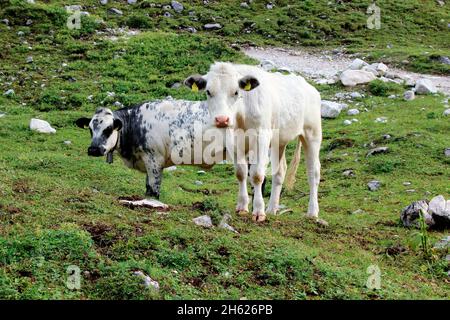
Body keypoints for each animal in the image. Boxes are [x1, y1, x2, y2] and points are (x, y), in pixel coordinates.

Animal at [76, 99, 229, 199]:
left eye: (108, 129)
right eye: (90, 129)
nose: (93, 149)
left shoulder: (154, 159)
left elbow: (154, 187)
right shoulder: (147, 160)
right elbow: (148, 187)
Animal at [185, 62, 322, 222]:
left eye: (236, 92)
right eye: (208, 92)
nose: (222, 119)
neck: (241, 115)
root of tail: (307, 85)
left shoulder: (261, 138)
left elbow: (256, 175)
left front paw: (258, 211)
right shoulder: (232, 141)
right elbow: (241, 173)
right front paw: (242, 207)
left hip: (312, 133)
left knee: (313, 172)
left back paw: (312, 212)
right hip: (279, 140)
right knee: (280, 171)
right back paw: (272, 209)